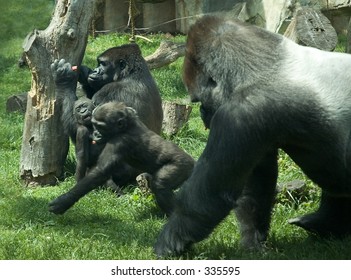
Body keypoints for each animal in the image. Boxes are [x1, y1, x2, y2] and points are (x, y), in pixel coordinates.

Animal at [48, 101, 195, 215]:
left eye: (100, 127)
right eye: (94, 125)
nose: (96, 134)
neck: (126, 127)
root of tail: (193, 161)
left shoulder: (119, 141)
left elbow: (100, 171)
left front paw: (64, 201)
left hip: (181, 165)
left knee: (161, 185)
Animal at [155, 14, 351, 256]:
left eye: (200, 100)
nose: (203, 115)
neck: (265, 66)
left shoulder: (238, 114)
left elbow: (210, 194)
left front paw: (169, 241)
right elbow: (256, 182)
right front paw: (253, 240)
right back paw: (324, 222)